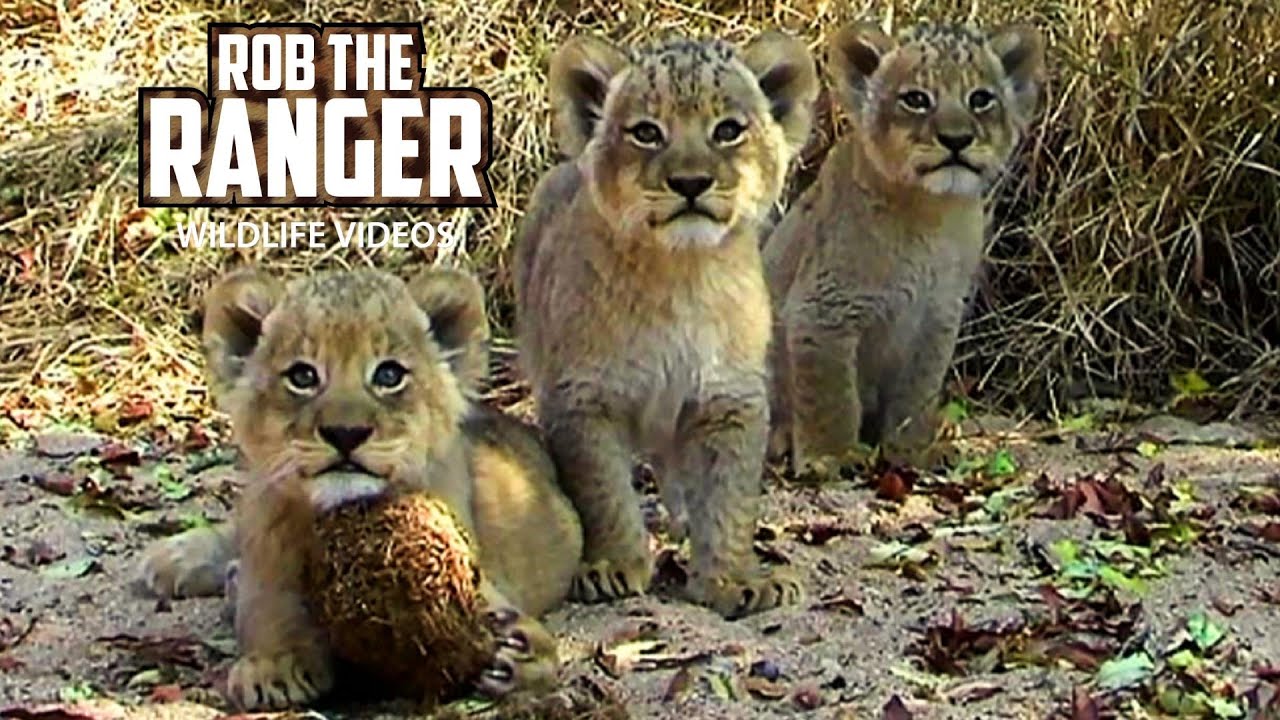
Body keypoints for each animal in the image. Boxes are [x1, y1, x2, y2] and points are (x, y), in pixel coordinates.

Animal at [135, 266, 582, 710]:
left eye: (389, 375)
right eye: (303, 376)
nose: (345, 433)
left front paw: (522, 652)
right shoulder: (267, 547)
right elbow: (266, 606)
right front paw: (274, 663)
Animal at [514, 33, 820, 619]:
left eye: (727, 130)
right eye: (646, 132)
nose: (691, 182)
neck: (683, 275)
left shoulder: (729, 399)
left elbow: (728, 501)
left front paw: (733, 581)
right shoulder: (582, 398)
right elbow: (603, 491)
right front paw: (613, 568)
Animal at [764, 20, 1046, 474]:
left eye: (980, 98)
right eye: (916, 99)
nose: (956, 139)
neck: (931, 215)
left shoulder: (937, 316)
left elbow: (917, 391)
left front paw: (912, 452)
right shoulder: (821, 311)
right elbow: (831, 397)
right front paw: (830, 457)